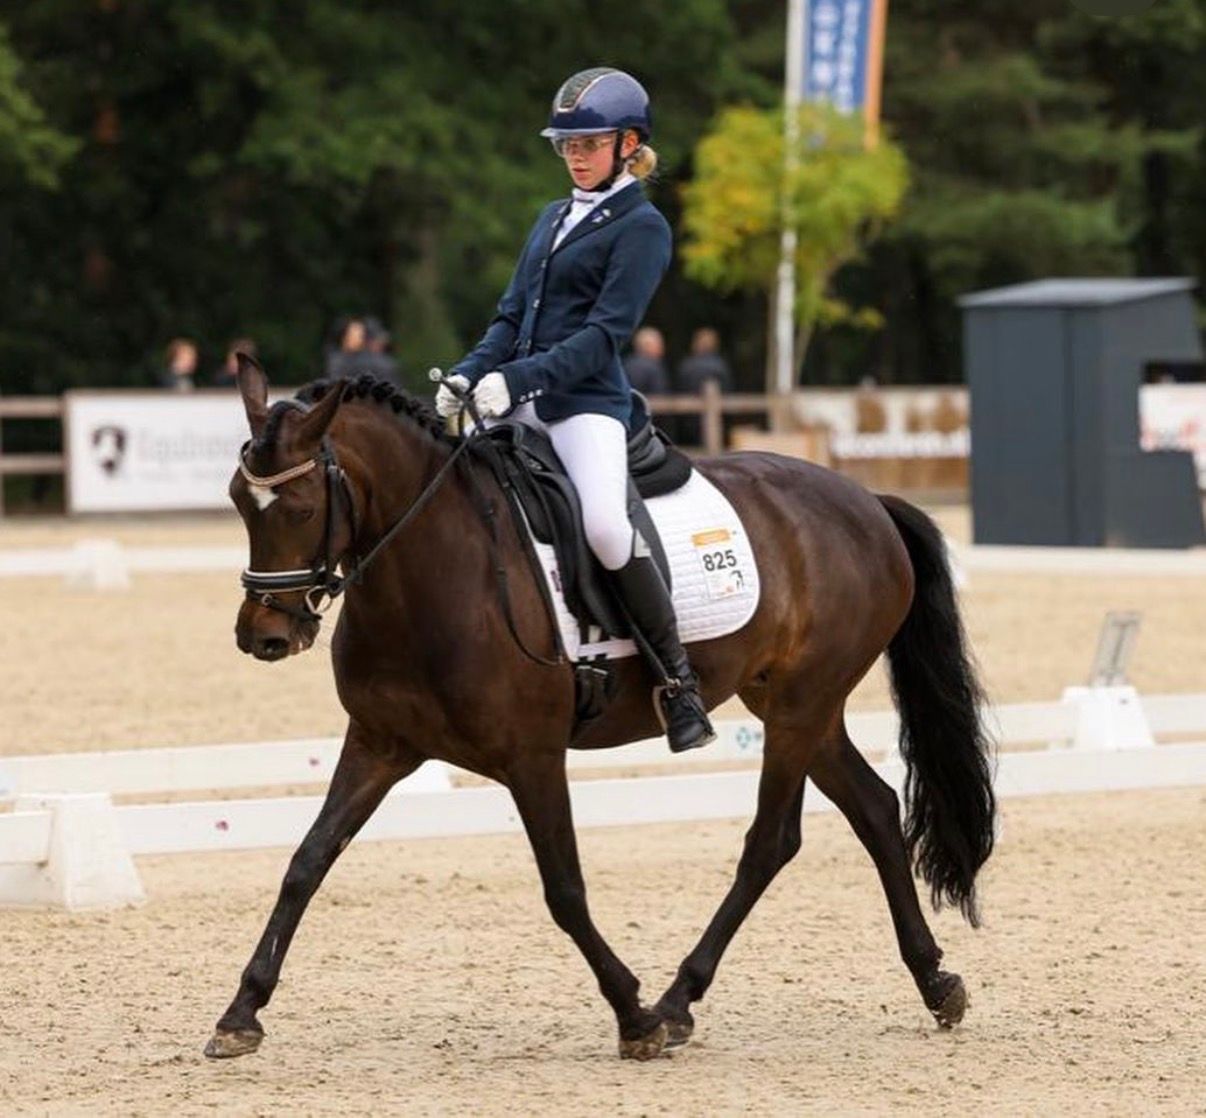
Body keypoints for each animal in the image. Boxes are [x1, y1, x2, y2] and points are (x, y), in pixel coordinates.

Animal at [205, 358, 995, 1061]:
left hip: (803, 707)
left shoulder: (531, 757)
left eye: (302, 508)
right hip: (797, 706)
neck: (431, 572)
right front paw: (241, 1013)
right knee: (875, 809)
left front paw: (633, 1016)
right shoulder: (379, 743)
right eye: (239, 501)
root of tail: (864, 500)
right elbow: (307, 861)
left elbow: (564, 889)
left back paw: (677, 1002)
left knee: (771, 841)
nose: (262, 636)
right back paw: (935, 982)